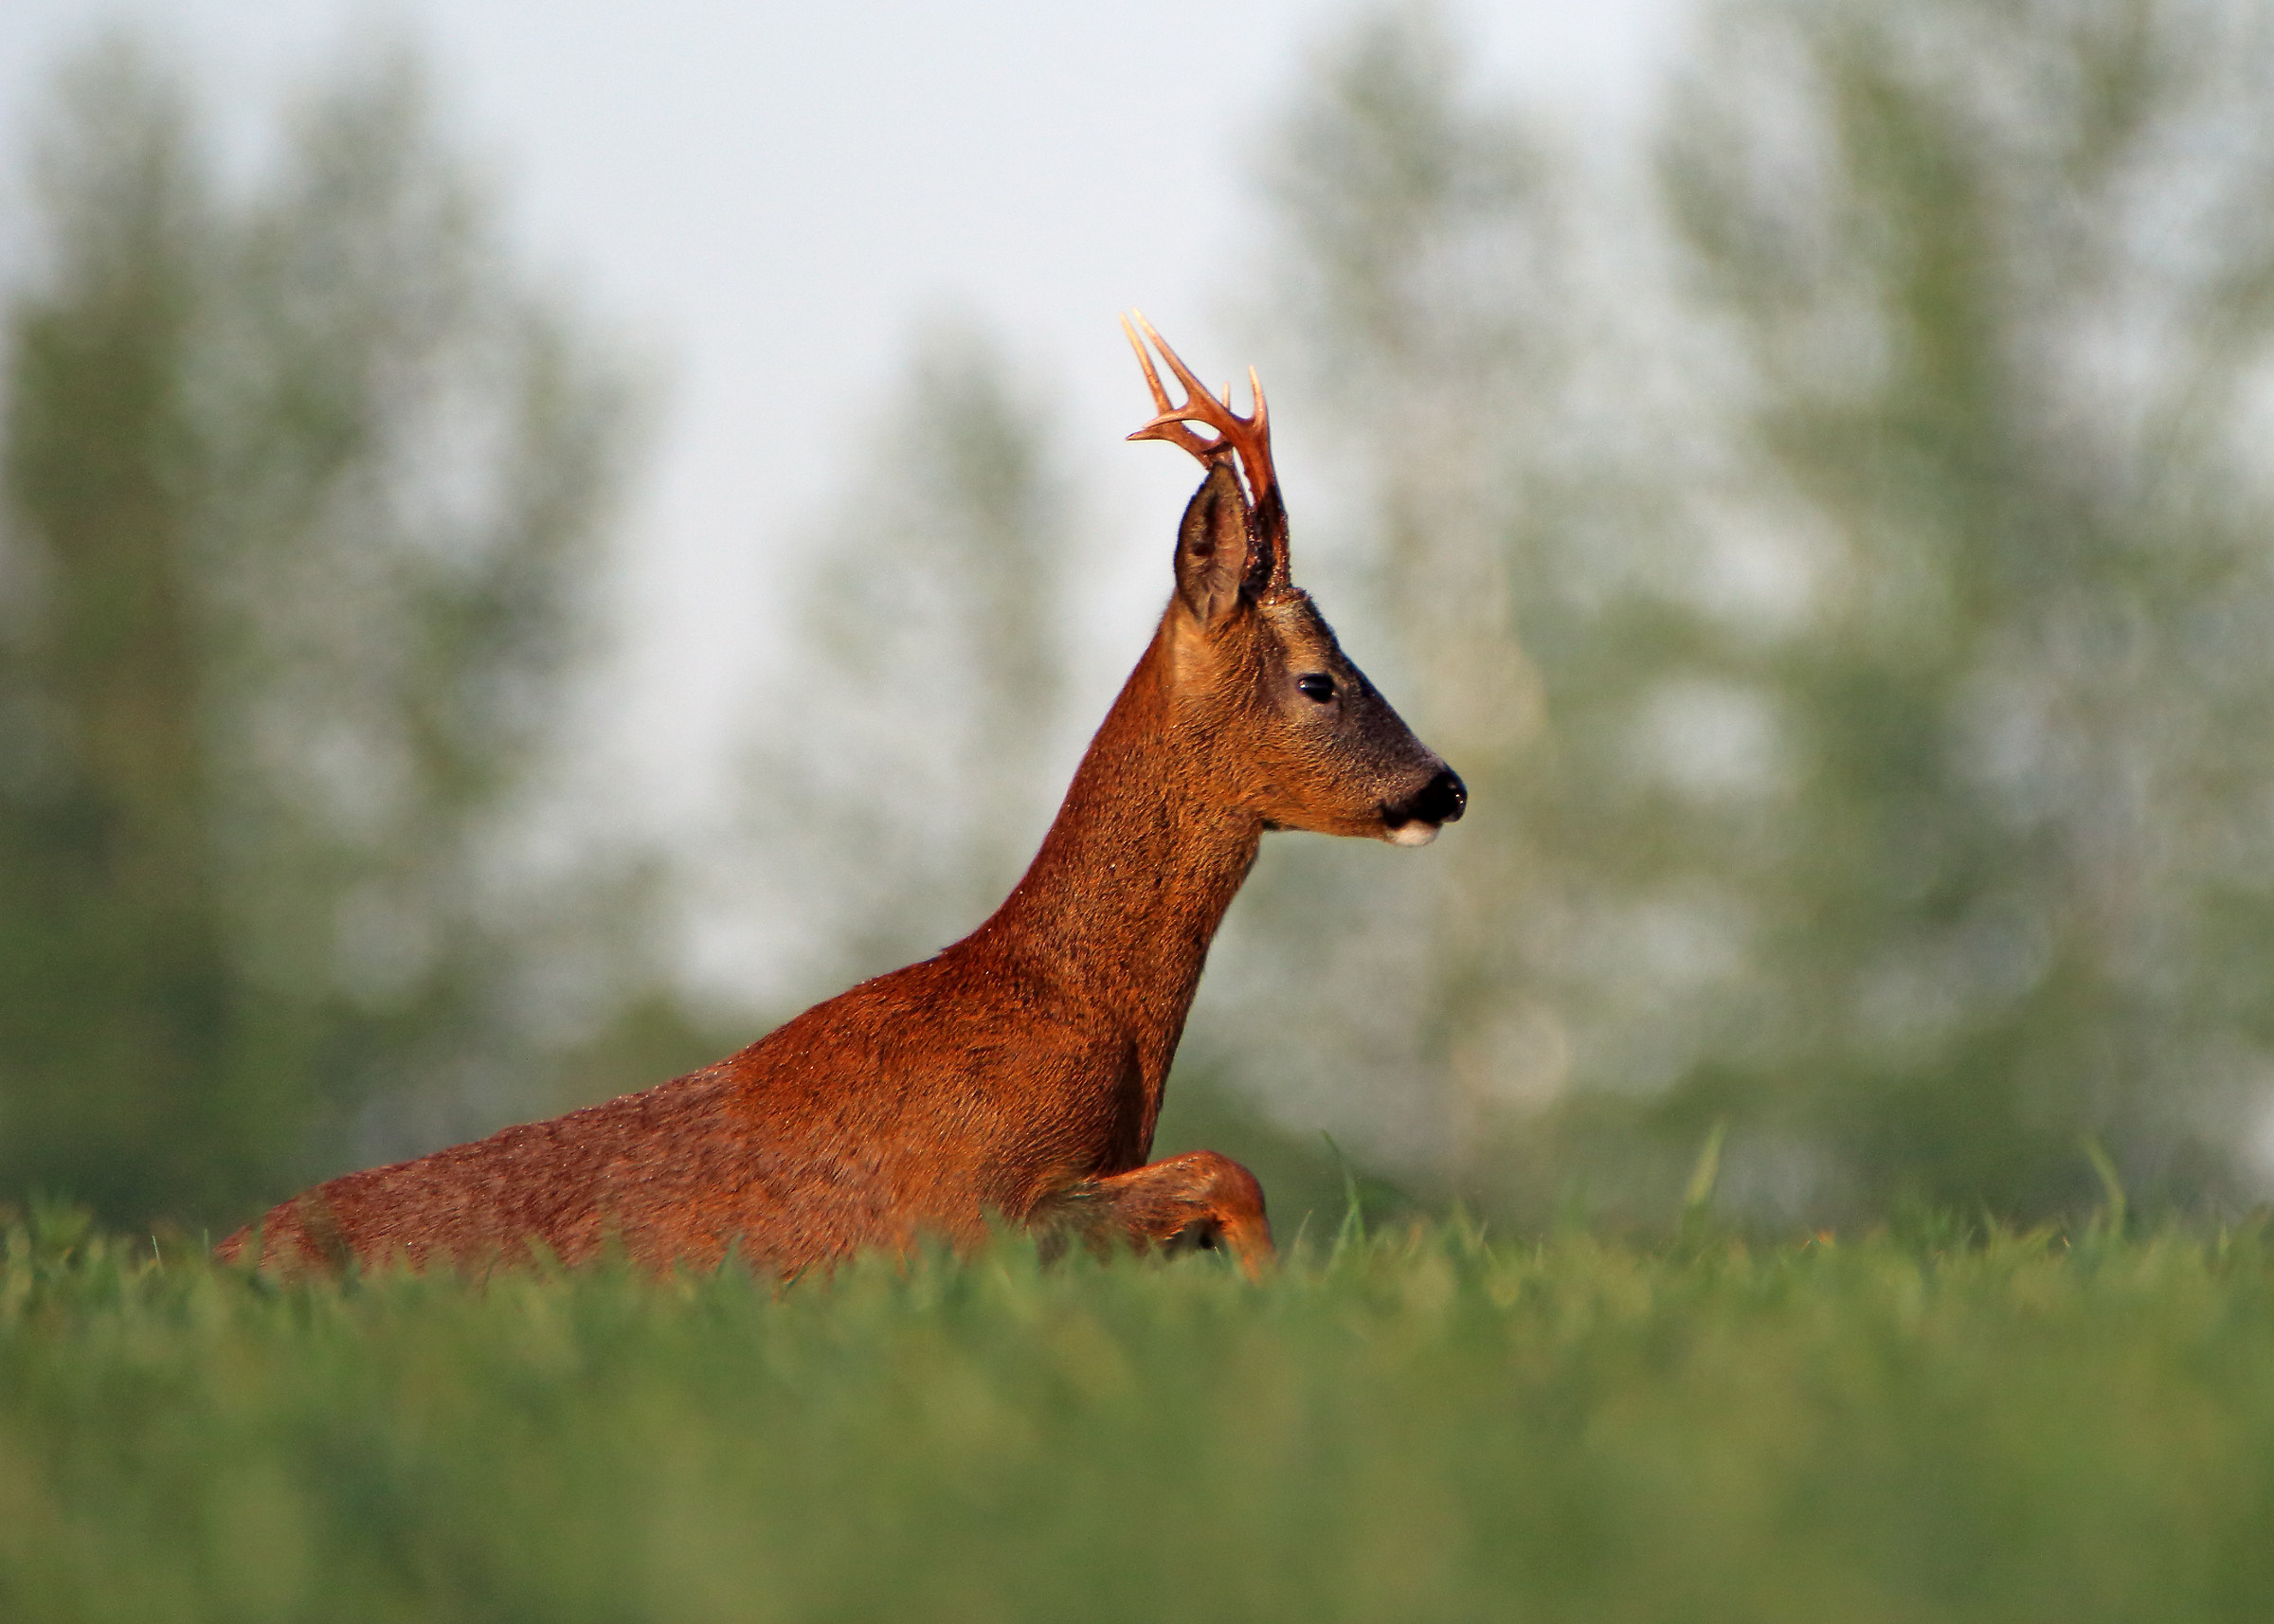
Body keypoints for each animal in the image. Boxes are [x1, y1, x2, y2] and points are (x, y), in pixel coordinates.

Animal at [218, 317, 1466, 1281]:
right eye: (1319, 679)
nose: (1443, 785)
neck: (1077, 1013)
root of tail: (222, 1252)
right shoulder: (965, 1212)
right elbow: (1229, 1173)